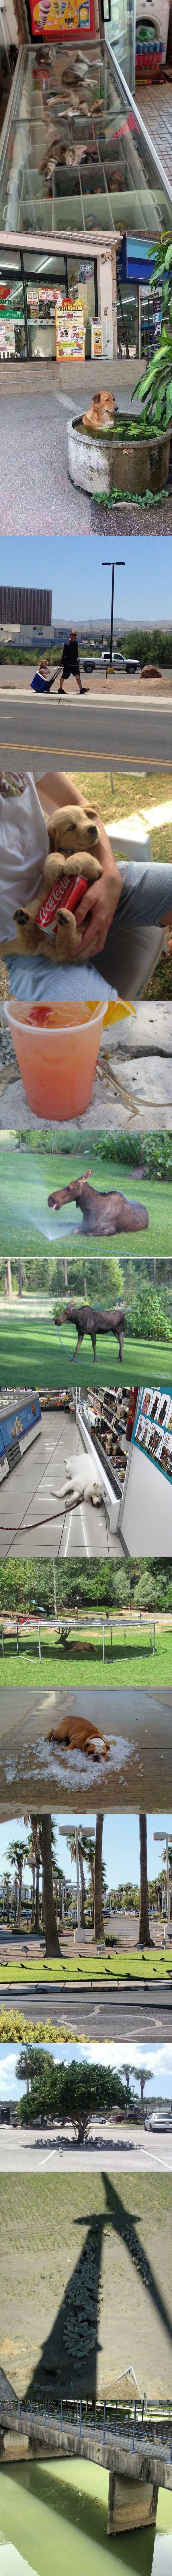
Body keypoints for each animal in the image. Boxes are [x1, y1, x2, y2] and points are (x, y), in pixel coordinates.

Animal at [48, 1174, 148, 1241]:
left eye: (69, 1188)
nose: (50, 1199)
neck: (89, 1211)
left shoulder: (110, 1231)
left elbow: (89, 1234)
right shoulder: (84, 1225)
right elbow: (74, 1230)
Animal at [50, 1453, 103, 1504]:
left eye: (101, 1499)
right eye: (96, 1496)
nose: (99, 1504)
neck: (88, 1484)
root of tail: (87, 1455)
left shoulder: (78, 1490)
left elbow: (76, 1497)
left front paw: (69, 1502)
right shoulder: (70, 1484)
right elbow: (61, 1494)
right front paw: (53, 1492)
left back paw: (69, 1475)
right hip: (70, 1468)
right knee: (69, 1464)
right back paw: (66, 1460)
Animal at [56, 1298, 124, 1360]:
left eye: (66, 1313)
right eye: (62, 1312)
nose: (57, 1321)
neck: (78, 1321)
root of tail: (124, 1315)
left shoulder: (93, 1332)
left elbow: (94, 1346)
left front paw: (95, 1360)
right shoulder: (81, 1333)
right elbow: (78, 1346)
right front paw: (73, 1360)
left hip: (119, 1330)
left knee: (121, 1343)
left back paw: (121, 1360)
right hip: (114, 1331)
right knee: (122, 1342)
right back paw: (119, 1357)